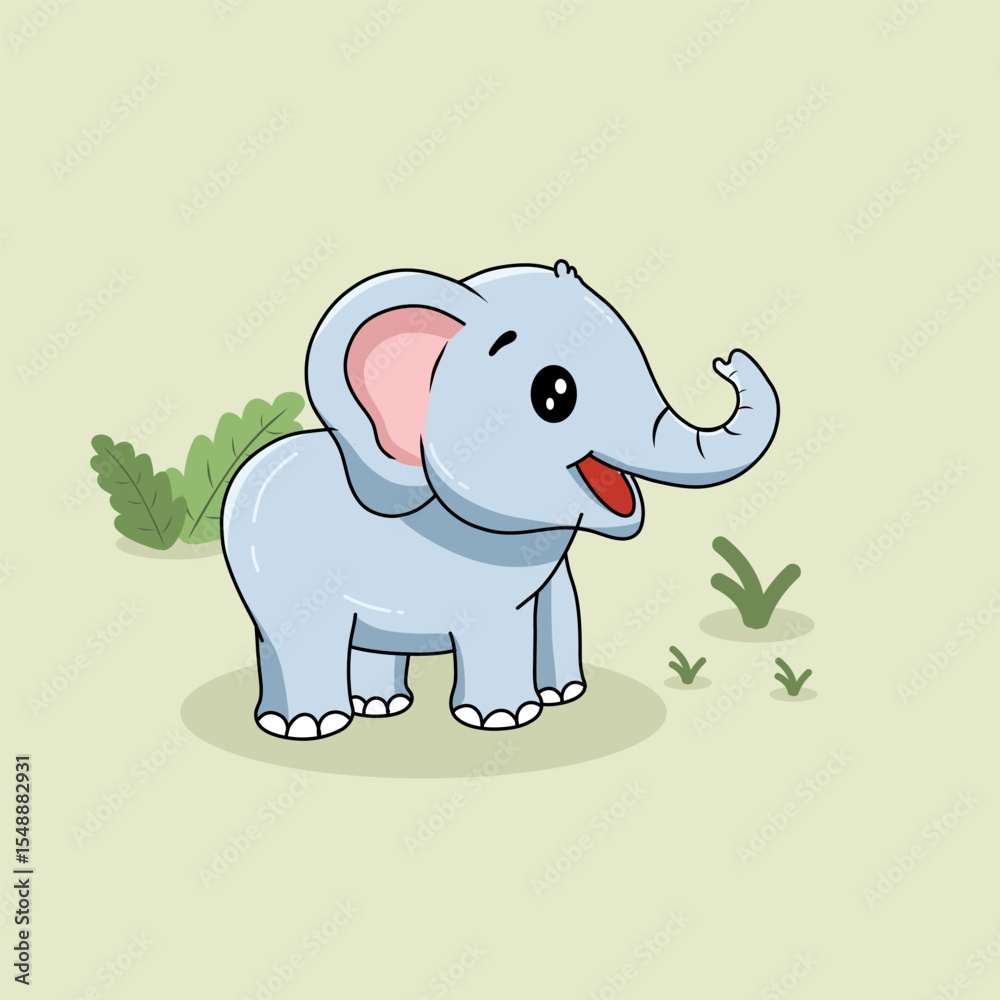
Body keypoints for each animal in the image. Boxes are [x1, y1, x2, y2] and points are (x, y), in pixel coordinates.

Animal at [221, 260, 779, 739]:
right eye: (554, 395)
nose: (725, 361)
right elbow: (497, 629)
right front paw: (505, 718)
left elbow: (556, 607)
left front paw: (562, 695)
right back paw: (308, 725)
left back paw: (379, 706)